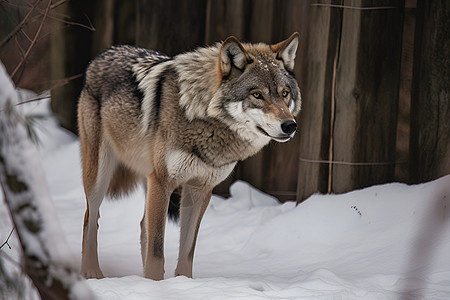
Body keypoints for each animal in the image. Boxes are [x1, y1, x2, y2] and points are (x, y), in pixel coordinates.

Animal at [78, 33, 300, 282]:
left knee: (142, 224)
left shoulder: (199, 189)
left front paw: (181, 283)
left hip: (147, 179)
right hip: (100, 176)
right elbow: (157, 252)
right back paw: (92, 272)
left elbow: (187, 252)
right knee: (90, 217)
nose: (290, 125)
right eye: (257, 95)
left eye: (284, 93)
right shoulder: (163, 182)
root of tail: (105, 52)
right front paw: (156, 285)